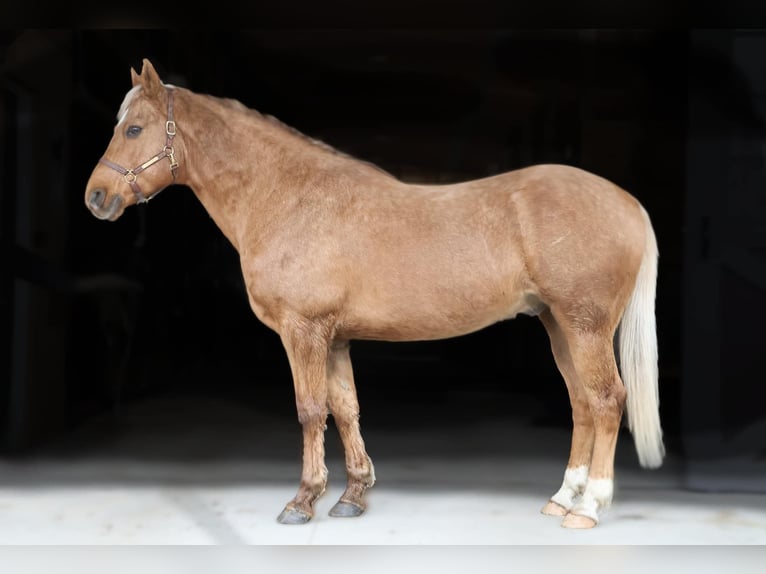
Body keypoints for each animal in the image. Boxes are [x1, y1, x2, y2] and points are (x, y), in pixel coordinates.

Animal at [84, 58, 664, 529]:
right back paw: (562, 499)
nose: (96, 197)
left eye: (134, 128)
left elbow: (310, 410)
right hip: (558, 326)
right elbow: (346, 409)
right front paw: (352, 497)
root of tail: (627, 202)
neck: (288, 197)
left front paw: (302, 501)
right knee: (582, 403)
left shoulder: (303, 331)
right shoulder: (334, 337)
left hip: (585, 326)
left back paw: (589, 508)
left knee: (607, 401)